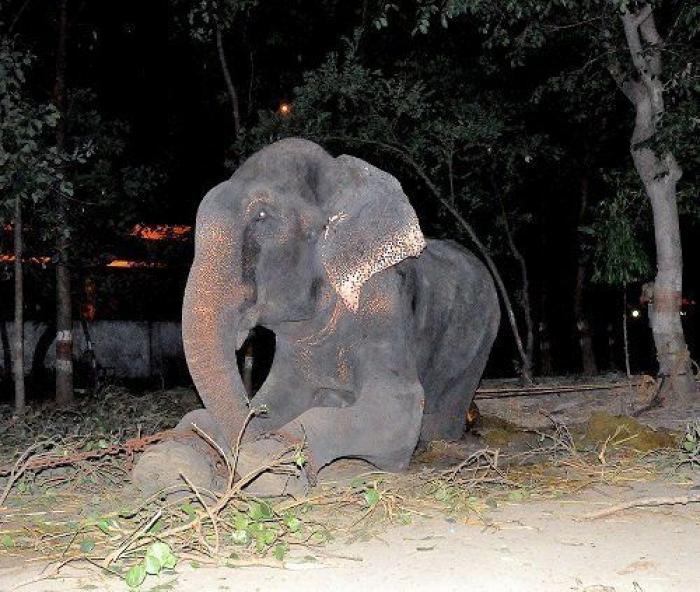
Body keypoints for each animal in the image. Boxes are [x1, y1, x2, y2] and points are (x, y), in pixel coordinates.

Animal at [132, 138, 499, 496]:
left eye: (262, 215)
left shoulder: (382, 299)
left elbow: (398, 407)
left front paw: (268, 465)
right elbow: (274, 399)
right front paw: (166, 463)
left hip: (480, 341)